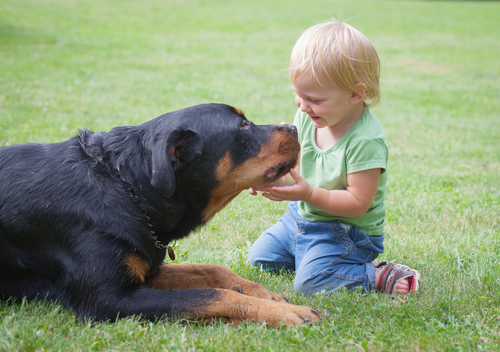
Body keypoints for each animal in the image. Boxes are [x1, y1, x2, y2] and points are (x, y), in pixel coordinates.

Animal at [0, 103, 320, 326]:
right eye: (243, 126)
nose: (293, 127)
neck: (127, 188)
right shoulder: (108, 300)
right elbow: (211, 295)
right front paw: (287, 312)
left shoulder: (147, 267)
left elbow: (211, 270)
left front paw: (264, 294)